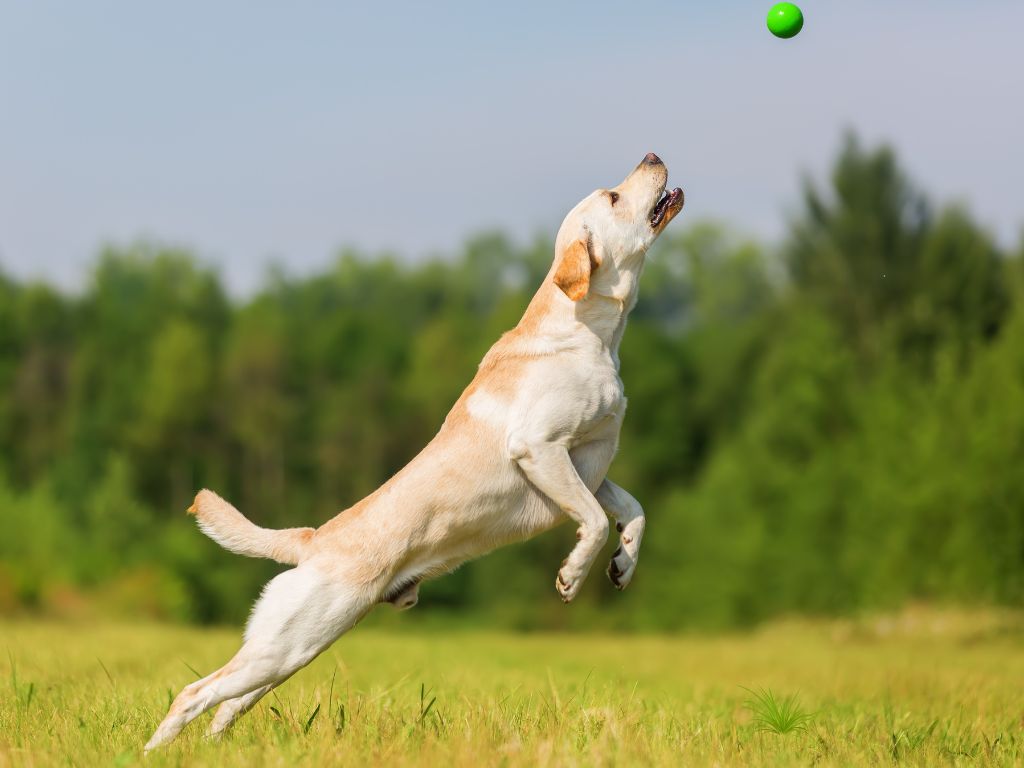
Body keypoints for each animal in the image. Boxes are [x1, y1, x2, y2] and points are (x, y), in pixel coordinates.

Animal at [144, 151, 684, 753]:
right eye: (613, 197)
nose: (653, 156)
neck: (591, 334)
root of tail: (312, 540)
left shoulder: (590, 462)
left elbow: (633, 509)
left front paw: (623, 565)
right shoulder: (540, 449)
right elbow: (590, 519)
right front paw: (573, 575)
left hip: (289, 652)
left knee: (226, 703)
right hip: (286, 645)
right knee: (193, 693)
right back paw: (151, 751)